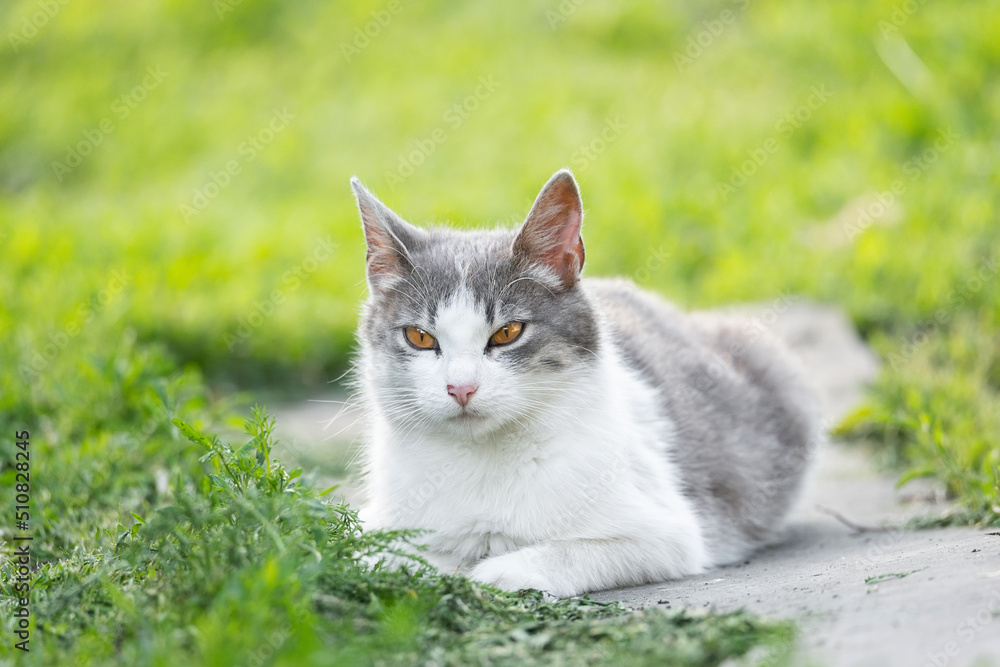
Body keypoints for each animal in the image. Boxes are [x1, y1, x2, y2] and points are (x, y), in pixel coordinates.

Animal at [352, 170, 820, 596]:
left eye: (508, 333)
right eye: (419, 337)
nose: (461, 388)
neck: (482, 458)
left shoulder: (668, 532)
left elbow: (570, 550)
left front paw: (499, 571)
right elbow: (390, 557)